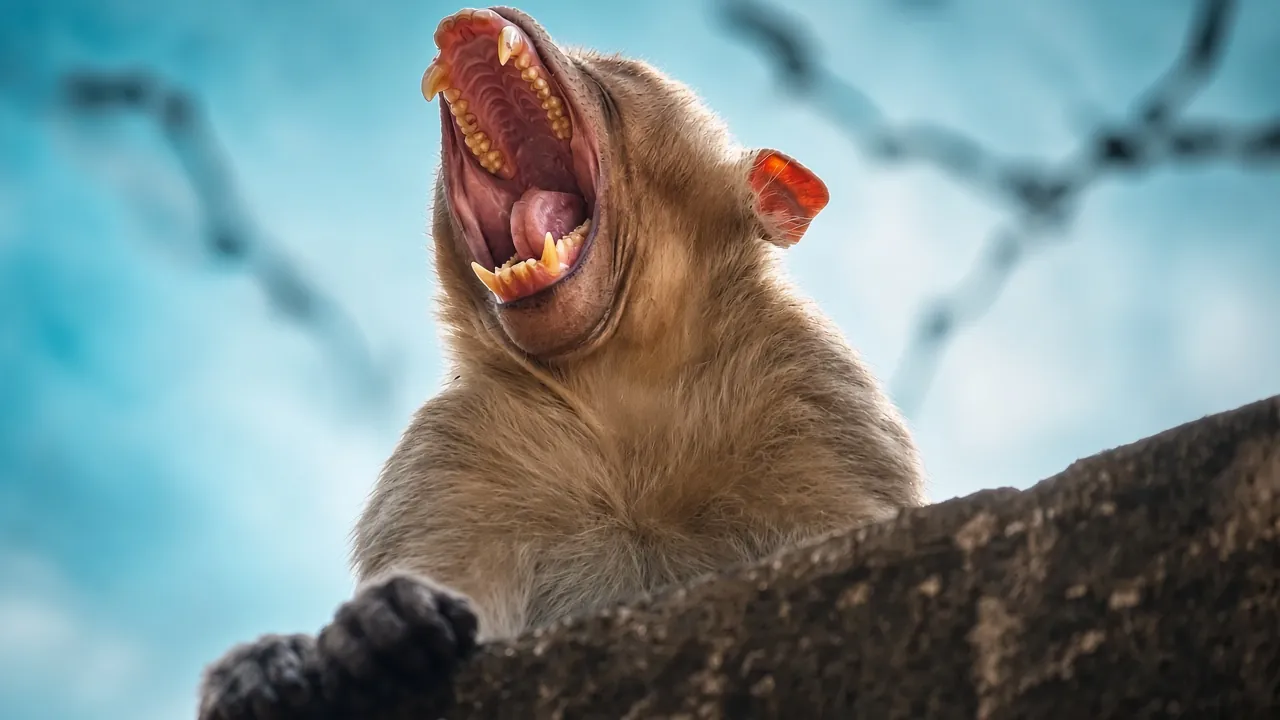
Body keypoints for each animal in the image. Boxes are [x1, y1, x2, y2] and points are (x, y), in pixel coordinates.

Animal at [197, 6, 927, 719]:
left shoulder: (814, 392)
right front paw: (370, 632)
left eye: (615, 73)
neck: (619, 385)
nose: (467, 21)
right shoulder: (453, 446)